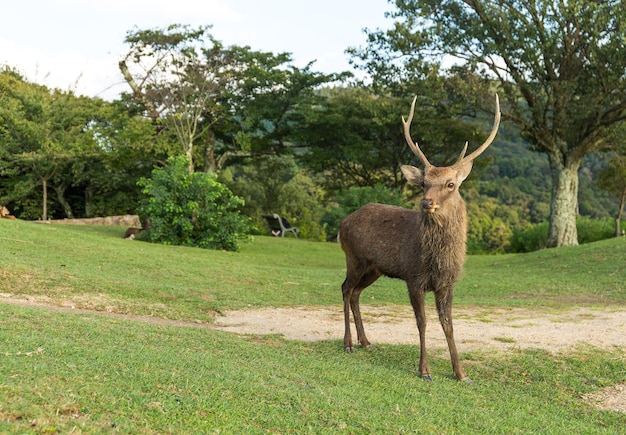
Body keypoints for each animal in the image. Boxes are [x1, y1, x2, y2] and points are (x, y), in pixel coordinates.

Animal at [336, 94, 498, 382]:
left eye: (450, 184)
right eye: (423, 183)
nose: (426, 202)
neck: (438, 260)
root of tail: (343, 223)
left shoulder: (448, 283)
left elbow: (449, 324)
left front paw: (460, 373)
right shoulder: (414, 278)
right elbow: (422, 322)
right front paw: (424, 370)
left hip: (374, 268)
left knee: (355, 293)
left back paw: (366, 341)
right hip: (354, 257)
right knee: (345, 288)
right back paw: (348, 344)